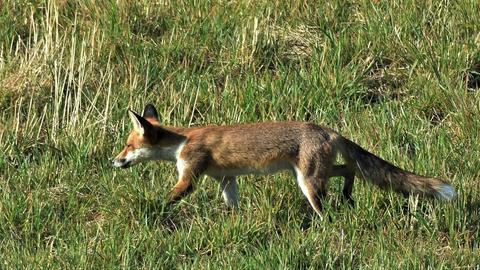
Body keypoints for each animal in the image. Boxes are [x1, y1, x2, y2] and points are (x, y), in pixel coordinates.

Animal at [110, 103, 456, 217]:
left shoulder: (189, 177)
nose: (114, 162)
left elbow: (168, 198)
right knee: (350, 168)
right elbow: (232, 204)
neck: (182, 141)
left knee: (327, 208)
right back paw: (348, 194)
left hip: (309, 183)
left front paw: (149, 212)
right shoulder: (226, 178)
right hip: (312, 174)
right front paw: (235, 223)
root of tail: (328, 129)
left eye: (127, 146)